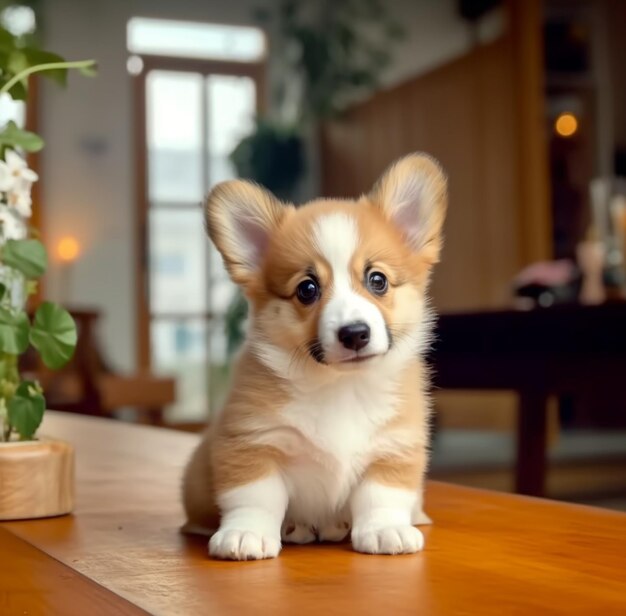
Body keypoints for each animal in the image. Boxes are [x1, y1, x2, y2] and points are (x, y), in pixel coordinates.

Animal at [180, 153, 444, 560]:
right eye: (307, 289)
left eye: (378, 280)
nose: (355, 333)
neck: (340, 386)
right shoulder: (252, 441)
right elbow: (255, 497)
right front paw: (244, 535)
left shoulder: (394, 446)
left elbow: (381, 496)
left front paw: (386, 531)